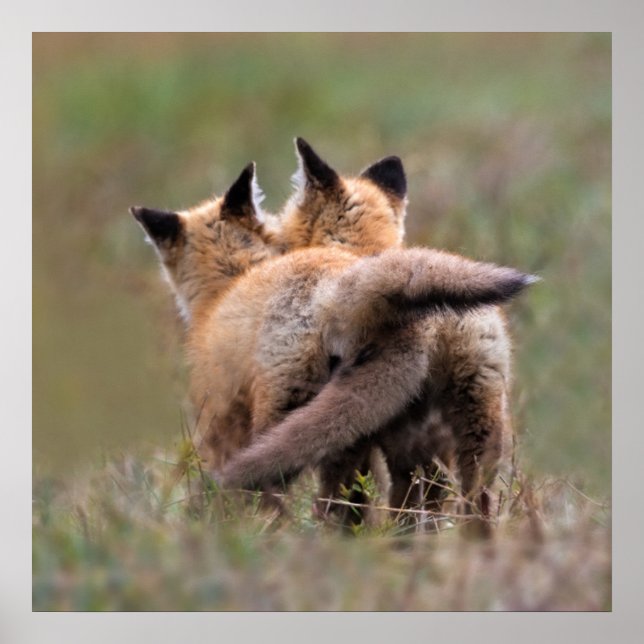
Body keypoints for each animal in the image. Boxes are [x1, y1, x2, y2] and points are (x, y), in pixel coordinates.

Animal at [131, 161, 535, 518]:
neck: (232, 281)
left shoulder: (220, 416)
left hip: (290, 418)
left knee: (284, 500)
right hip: (453, 429)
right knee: (449, 505)